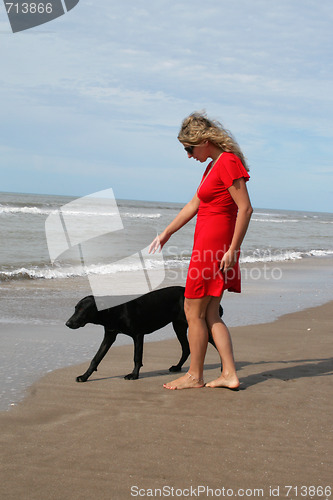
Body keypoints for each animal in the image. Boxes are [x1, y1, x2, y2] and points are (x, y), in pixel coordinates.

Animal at [65, 288, 222, 380]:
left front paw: (134, 375)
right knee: (186, 348)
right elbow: (96, 358)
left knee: (217, 342)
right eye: (75, 308)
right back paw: (177, 367)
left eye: (82, 310)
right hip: (179, 326)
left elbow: (136, 357)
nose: (67, 323)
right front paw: (84, 376)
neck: (113, 310)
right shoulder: (109, 336)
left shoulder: (138, 335)